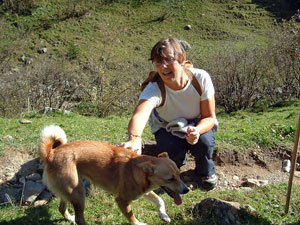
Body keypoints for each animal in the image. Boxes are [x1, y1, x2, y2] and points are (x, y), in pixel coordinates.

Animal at [38, 125, 189, 224]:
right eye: (170, 179)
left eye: (179, 175)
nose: (187, 190)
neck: (138, 170)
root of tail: (51, 154)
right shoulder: (122, 200)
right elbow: (131, 217)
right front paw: (139, 223)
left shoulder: (145, 192)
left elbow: (160, 200)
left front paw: (164, 215)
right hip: (78, 193)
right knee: (80, 219)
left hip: (69, 191)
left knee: (62, 208)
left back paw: (70, 218)